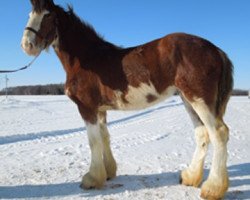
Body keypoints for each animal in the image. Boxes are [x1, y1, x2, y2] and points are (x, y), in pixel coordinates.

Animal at [20, 0, 233, 198]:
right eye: (30, 14)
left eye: (47, 15)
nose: (27, 45)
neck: (89, 60)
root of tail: (216, 50)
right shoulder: (100, 110)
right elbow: (104, 137)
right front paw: (108, 172)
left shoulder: (87, 108)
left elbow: (93, 141)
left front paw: (92, 179)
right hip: (188, 99)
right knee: (202, 134)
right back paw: (190, 177)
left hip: (199, 99)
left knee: (219, 133)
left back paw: (213, 189)